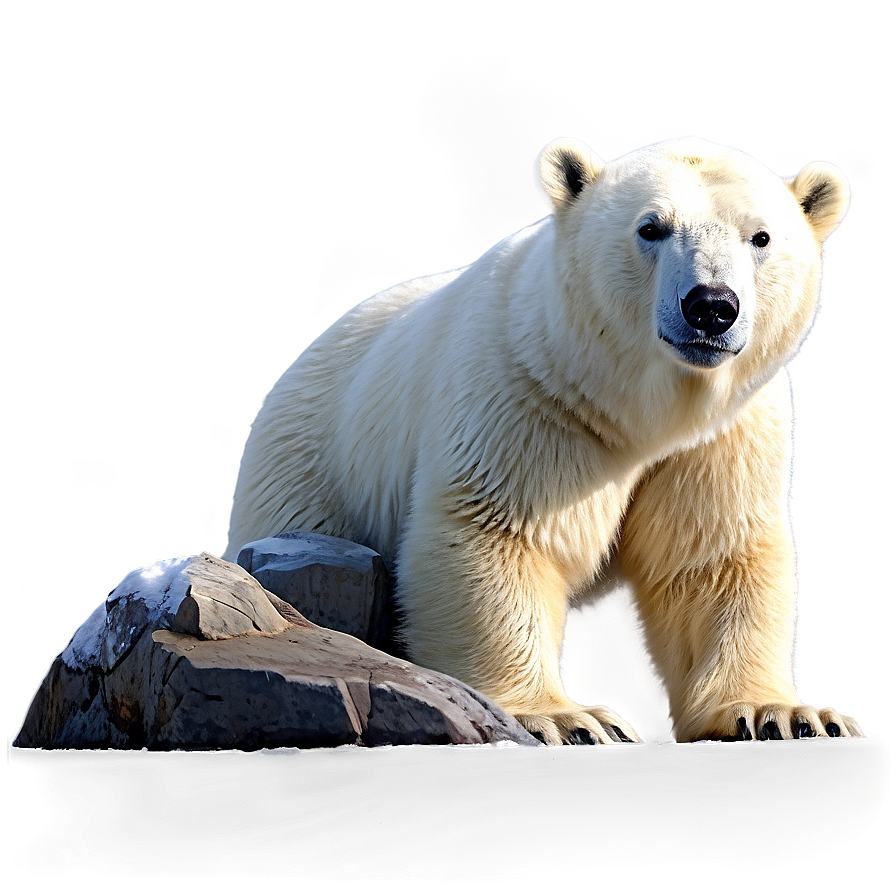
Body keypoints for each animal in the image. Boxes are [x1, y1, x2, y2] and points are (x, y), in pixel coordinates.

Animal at [227, 136, 863, 745]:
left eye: (761, 237)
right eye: (651, 227)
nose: (711, 306)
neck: (641, 409)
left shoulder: (721, 435)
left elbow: (710, 558)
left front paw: (783, 714)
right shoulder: (530, 394)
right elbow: (500, 533)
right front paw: (565, 718)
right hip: (317, 465)